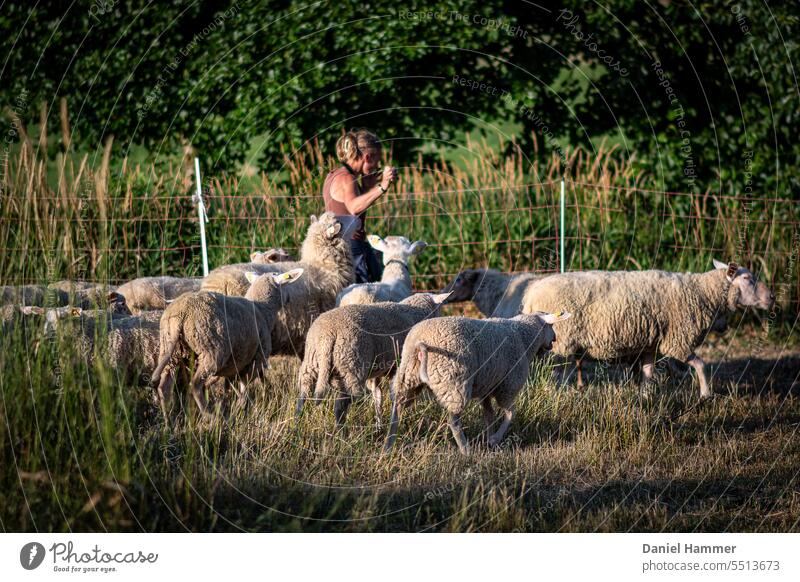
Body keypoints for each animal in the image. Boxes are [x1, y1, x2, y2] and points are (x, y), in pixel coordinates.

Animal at [152, 270, 304, 420]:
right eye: (285, 283)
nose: (289, 298)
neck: (262, 308)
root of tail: (181, 312)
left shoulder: (234, 366)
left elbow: (233, 390)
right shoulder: (256, 360)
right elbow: (243, 392)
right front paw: (237, 413)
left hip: (171, 349)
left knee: (164, 387)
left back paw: (169, 421)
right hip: (211, 350)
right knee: (195, 385)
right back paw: (210, 416)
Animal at [296, 292, 454, 428]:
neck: (415, 313)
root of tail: (328, 334)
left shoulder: (376, 372)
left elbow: (377, 395)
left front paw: (379, 425)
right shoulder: (398, 366)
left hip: (311, 364)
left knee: (302, 397)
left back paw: (297, 424)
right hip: (351, 366)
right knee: (340, 407)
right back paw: (341, 433)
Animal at [386, 310, 568, 456]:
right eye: (550, 326)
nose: (554, 339)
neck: (523, 337)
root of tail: (419, 342)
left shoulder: (486, 388)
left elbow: (489, 415)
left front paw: (489, 441)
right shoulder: (507, 386)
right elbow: (511, 413)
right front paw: (495, 439)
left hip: (407, 377)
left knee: (397, 409)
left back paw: (388, 446)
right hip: (454, 381)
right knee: (453, 421)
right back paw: (466, 450)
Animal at [520, 262, 776, 400]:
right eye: (747, 278)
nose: (772, 298)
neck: (703, 293)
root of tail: (531, 295)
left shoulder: (651, 345)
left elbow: (648, 372)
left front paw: (644, 397)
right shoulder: (677, 341)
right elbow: (701, 364)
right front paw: (705, 395)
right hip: (561, 343)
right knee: (555, 375)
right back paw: (558, 396)